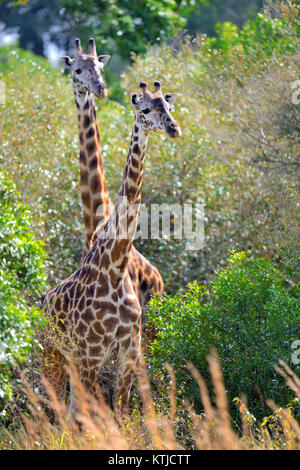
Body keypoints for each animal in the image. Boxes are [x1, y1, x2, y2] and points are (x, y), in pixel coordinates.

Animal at [42, 81, 180, 412]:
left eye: (169, 108)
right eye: (145, 109)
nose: (173, 128)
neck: (115, 267)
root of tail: (42, 304)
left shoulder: (129, 350)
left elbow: (123, 413)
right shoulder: (92, 353)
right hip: (53, 353)